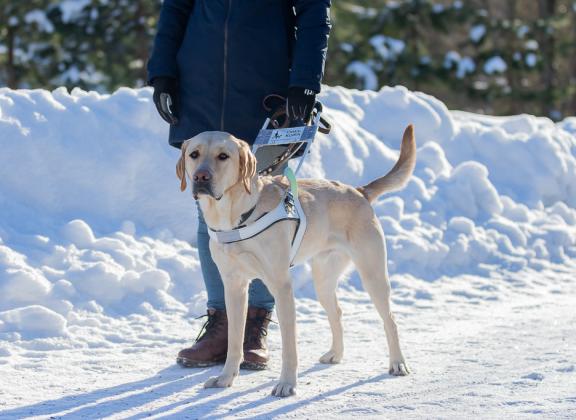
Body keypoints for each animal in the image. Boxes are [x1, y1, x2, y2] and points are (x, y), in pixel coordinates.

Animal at [177, 124, 414, 398]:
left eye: (223, 156)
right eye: (194, 154)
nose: (201, 177)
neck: (236, 217)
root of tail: (358, 191)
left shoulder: (281, 287)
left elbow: (289, 347)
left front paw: (287, 384)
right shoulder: (234, 287)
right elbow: (234, 341)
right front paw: (226, 378)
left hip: (373, 275)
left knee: (391, 320)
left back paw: (398, 363)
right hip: (323, 281)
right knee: (337, 312)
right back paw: (336, 353)